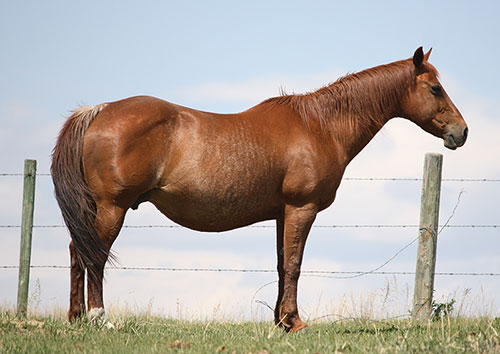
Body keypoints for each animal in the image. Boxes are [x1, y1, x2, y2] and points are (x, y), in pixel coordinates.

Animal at [52, 47, 466, 332]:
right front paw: (295, 323)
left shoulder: (283, 213)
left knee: (77, 251)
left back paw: (75, 317)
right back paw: (99, 317)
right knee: (95, 256)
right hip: (112, 207)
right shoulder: (302, 208)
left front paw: (281, 322)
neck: (319, 126)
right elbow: (295, 265)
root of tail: (99, 111)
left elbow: (283, 265)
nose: (461, 132)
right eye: (435, 88)